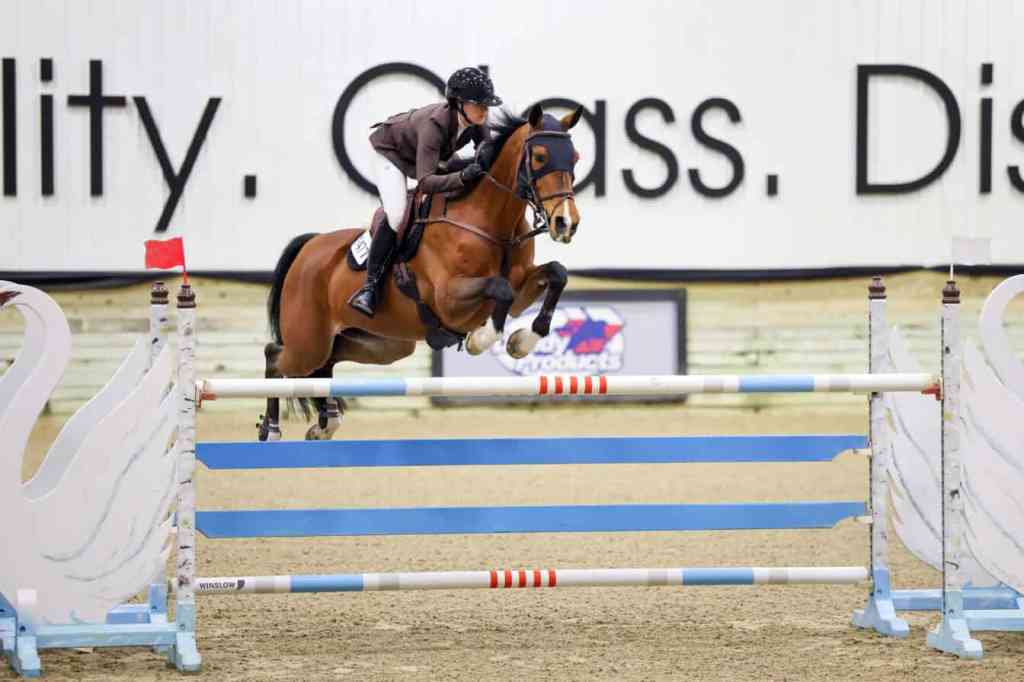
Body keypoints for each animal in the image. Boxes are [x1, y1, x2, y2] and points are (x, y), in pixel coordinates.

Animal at [258, 103, 583, 440]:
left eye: (574, 158)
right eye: (540, 157)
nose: (566, 223)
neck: (491, 220)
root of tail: (309, 246)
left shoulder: (520, 292)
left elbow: (557, 274)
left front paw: (521, 342)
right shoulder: (449, 301)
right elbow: (499, 289)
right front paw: (480, 339)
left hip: (382, 343)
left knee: (323, 365)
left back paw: (326, 423)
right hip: (309, 341)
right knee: (276, 357)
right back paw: (272, 429)